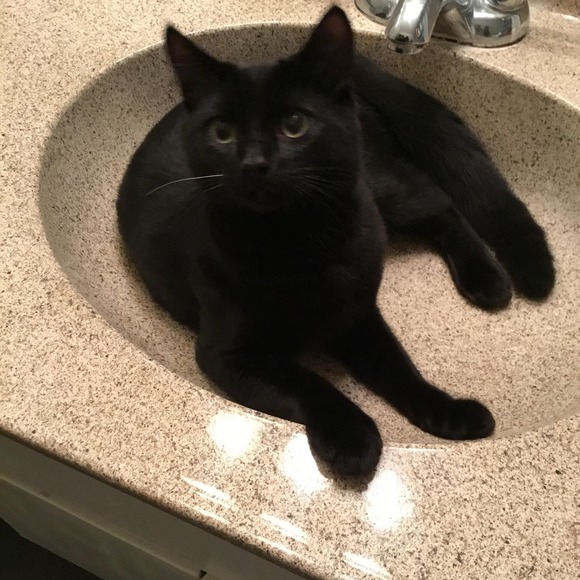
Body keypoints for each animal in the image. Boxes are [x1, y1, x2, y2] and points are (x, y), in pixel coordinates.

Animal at [117, 7, 555, 477]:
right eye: (222, 132)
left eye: (294, 124)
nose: (254, 163)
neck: (298, 242)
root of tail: (357, 73)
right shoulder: (228, 354)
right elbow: (309, 382)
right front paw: (354, 439)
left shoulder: (357, 313)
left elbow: (399, 368)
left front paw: (450, 411)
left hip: (380, 186)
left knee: (442, 206)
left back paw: (487, 281)